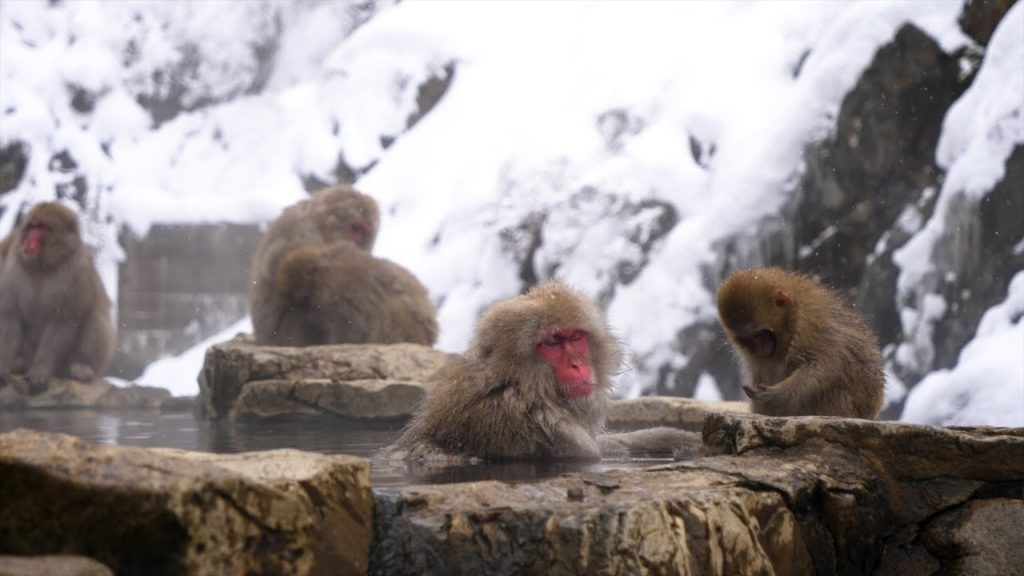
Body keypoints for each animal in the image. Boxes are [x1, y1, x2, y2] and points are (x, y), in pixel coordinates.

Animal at [0, 202, 115, 393]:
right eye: (31, 227)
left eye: (42, 228)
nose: (29, 240)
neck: (43, 267)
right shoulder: (11, 269)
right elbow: (10, 318)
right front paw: (3, 366)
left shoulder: (77, 270)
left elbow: (63, 321)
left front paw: (40, 372)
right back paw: (17, 363)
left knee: (95, 315)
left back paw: (82, 367)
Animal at [378, 281, 698, 462]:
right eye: (552, 343)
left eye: (575, 337)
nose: (577, 365)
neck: (525, 388)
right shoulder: (549, 432)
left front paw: (674, 438)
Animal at [717, 267, 885, 419]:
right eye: (747, 339)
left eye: (760, 334)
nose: (759, 348)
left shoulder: (810, 326)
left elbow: (820, 368)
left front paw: (773, 396)